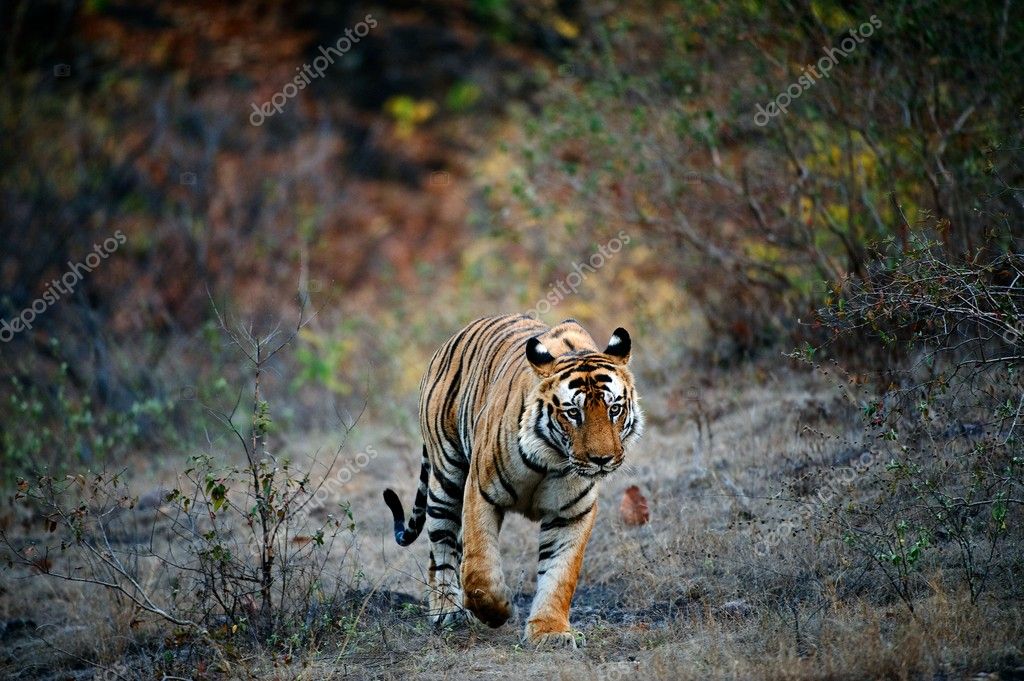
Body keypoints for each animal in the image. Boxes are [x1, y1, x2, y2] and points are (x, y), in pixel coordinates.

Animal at [383, 314, 644, 648]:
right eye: (573, 413)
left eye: (615, 409)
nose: (603, 459)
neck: (552, 459)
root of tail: (451, 339)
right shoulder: (480, 493)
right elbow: (479, 569)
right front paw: (497, 611)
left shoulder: (572, 514)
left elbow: (560, 574)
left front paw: (549, 632)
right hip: (447, 478)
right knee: (441, 548)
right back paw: (446, 611)